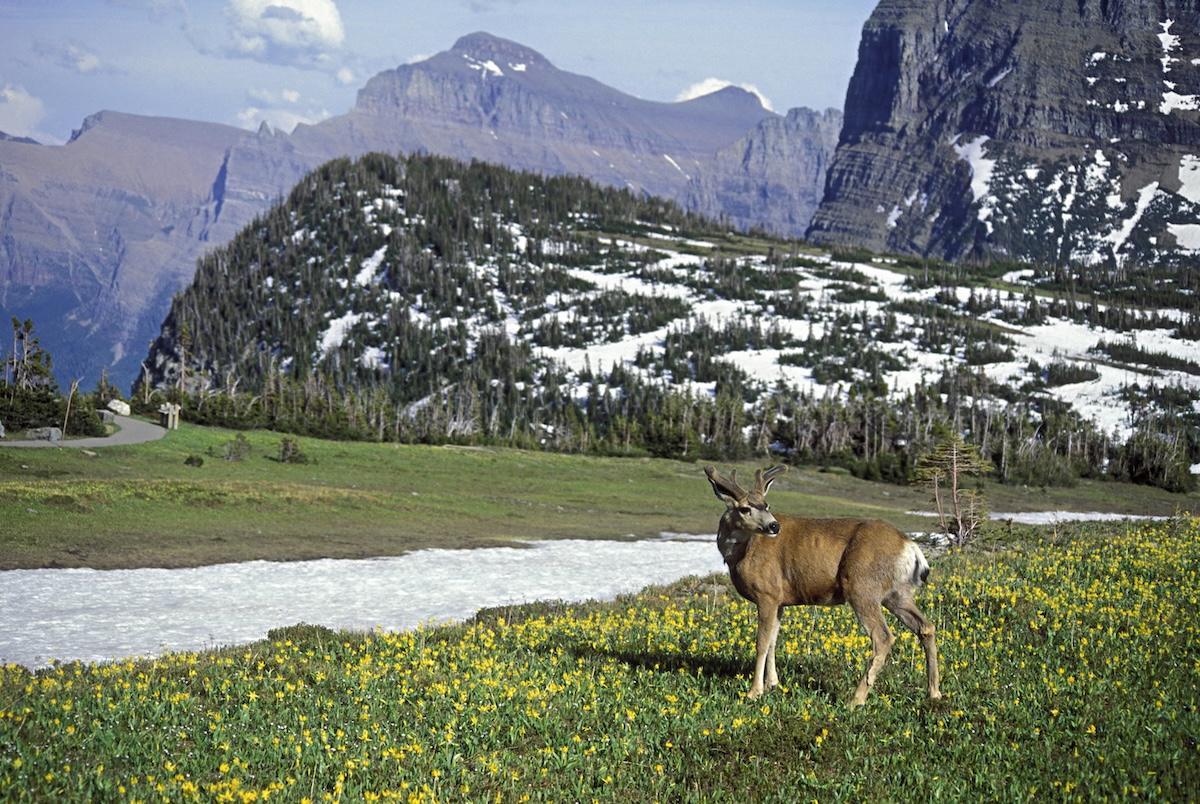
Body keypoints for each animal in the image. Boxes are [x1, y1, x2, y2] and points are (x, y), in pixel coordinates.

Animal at [704, 464, 942, 708]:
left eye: (766, 505)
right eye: (745, 508)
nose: (773, 525)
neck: (741, 552)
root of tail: (909, 546)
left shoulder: (766, 592)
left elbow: (761, 643)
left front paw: (754, 692)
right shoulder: (779, 600)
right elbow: (772, 641)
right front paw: (772, 684)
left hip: (861, 586)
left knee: (883, 637)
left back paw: (856, 700)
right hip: (896, 593)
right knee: (926, 627)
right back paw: (934, 692)